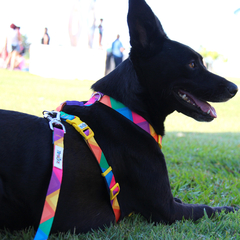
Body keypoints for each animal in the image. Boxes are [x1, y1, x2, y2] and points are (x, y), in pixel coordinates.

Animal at [0, 0, 237, 234]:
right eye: (192, 64)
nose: (234, 88)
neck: (128, 111)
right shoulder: (166, 209)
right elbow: (208, 208)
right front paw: (231, 209)